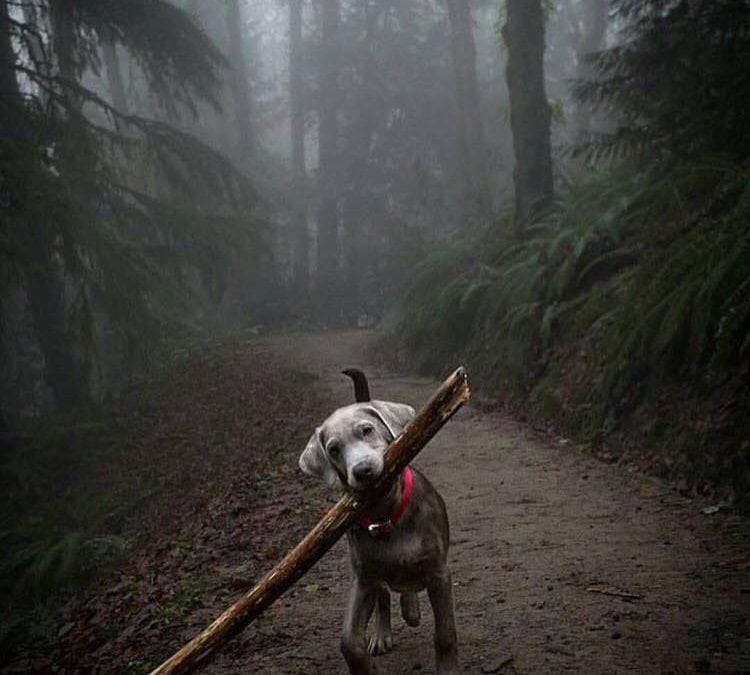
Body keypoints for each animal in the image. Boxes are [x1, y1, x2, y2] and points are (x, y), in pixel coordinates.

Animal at [300, 372, 458, 672]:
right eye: (333, 449)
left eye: (367, 430)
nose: (362, 470)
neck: (385, 516)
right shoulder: (364, 580)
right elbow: (349, 643)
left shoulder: (438, 572)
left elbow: (444, 635)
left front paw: (447, 668)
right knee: (384, 597)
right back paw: (382, 634)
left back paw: (410, 608)